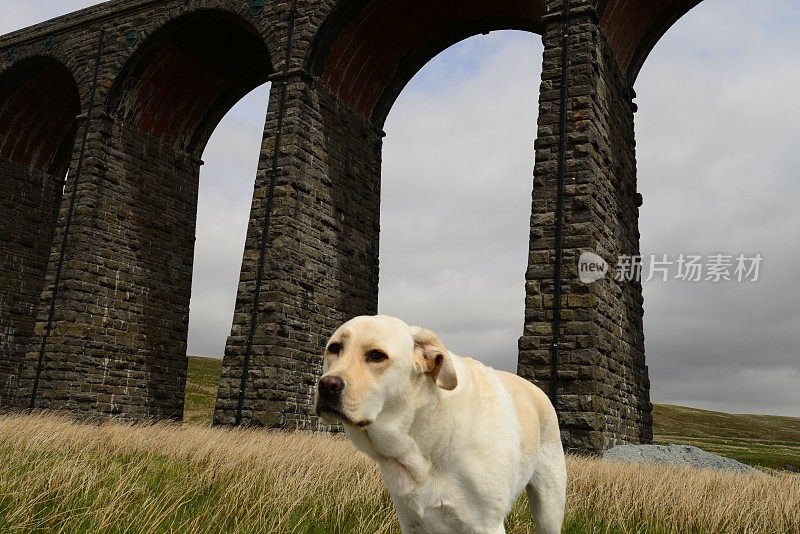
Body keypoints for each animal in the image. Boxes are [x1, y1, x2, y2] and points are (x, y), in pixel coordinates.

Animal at [314, 316, 568, 532]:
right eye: (334, 348)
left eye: (377, 355)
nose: (326, 385)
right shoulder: (411, 522)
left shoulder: (486, 525)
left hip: (550, 507)